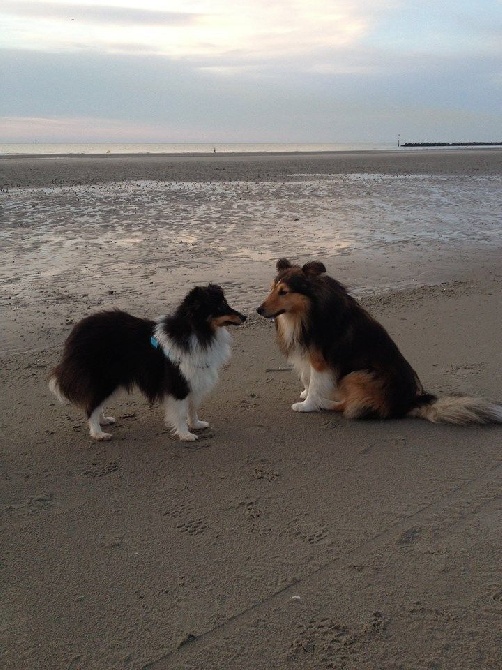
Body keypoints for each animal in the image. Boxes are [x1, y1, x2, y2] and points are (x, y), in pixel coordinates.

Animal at [48, 286, 245, 444]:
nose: (244, 317)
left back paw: (104, 421)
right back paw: (98, 433)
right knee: (91, 407)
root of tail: (76, 334)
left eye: (225, 303)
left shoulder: (193, 379)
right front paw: (185, 434)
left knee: (96, 402)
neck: (195, 331)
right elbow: (181, 412)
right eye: (220, 306)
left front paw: (196, 424)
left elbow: (192, 407)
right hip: (105, 379)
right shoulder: (178, 383)